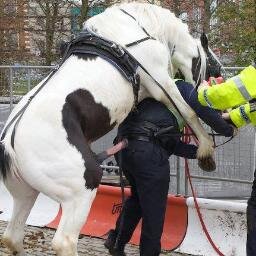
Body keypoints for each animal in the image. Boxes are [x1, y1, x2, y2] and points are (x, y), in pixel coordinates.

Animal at [0, 2, 220, 256]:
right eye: (212, 62)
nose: (218, 75)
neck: (137, 27)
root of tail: (9, 144)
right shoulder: (161, 84)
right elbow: (188, 112)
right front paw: (206, 151)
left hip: (25, 194)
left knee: (13, 237)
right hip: (80, 192)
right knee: (64, 241)